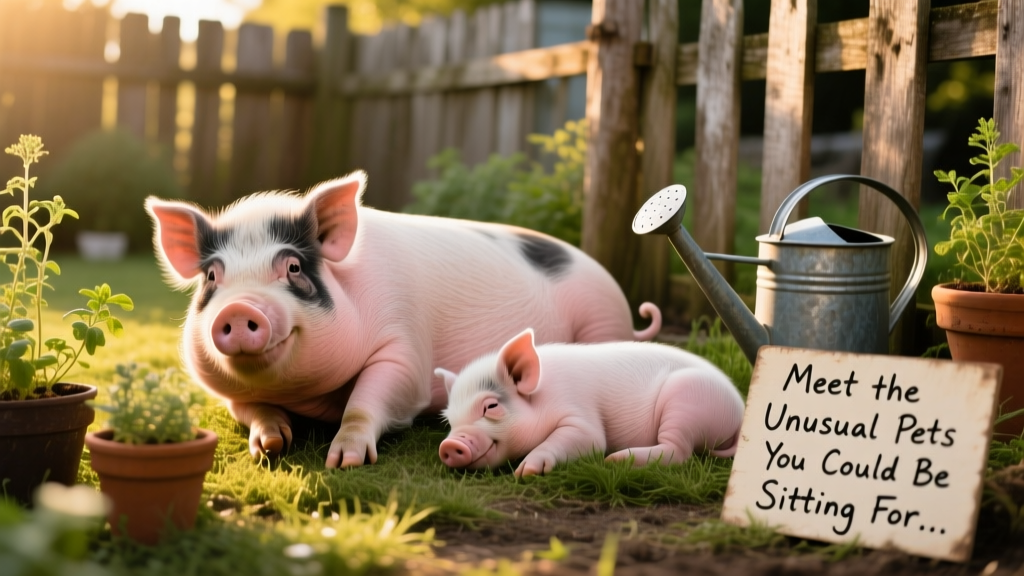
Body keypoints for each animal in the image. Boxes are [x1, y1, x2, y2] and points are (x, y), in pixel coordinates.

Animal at [145, 170, 661, 468]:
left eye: (292, 268)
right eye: (213, 277)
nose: (238, 309)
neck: (307, 395)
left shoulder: (405, 348)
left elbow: (371, 398)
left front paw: (344, 461)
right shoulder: (230, 392)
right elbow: (255, 412)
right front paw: (270, 446)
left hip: (601, 322)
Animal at [436, 328, 744, 477]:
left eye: (490, 407)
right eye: (449, 421)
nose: (449, 445)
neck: (544, 397)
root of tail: (739, 412)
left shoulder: (580, 412)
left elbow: (590, 439)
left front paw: (526, 473)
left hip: (687, 399)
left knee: (679, 452)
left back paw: (615, 460)